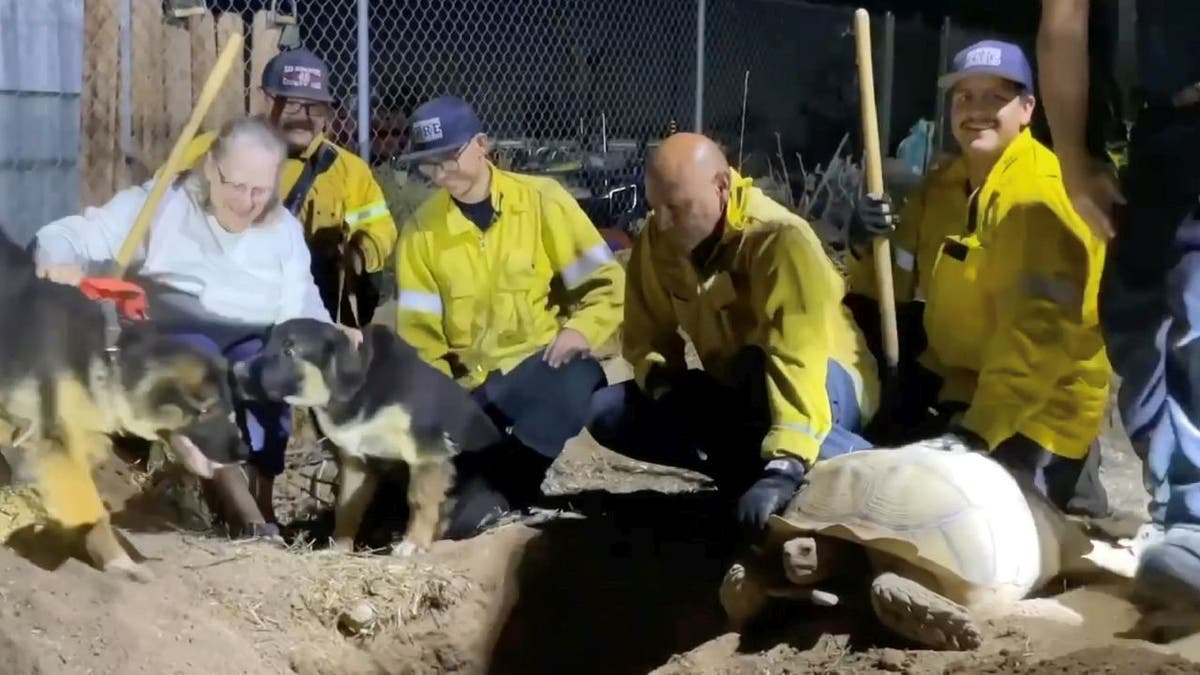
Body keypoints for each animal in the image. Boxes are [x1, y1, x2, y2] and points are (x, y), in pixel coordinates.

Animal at [0, 230, 243, 578]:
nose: (244, 452)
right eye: (207, 410)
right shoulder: (57, 441)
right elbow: (93, 509)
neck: (111, 358)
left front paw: (114, 559)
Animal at [234, 317, 501, 550]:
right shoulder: (357, 460)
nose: (235, 371)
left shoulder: (428, 452)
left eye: (290, 350)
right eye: (264, 344)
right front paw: (339, 547)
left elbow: (420, 501)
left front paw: (413, 544)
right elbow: (347, 507)